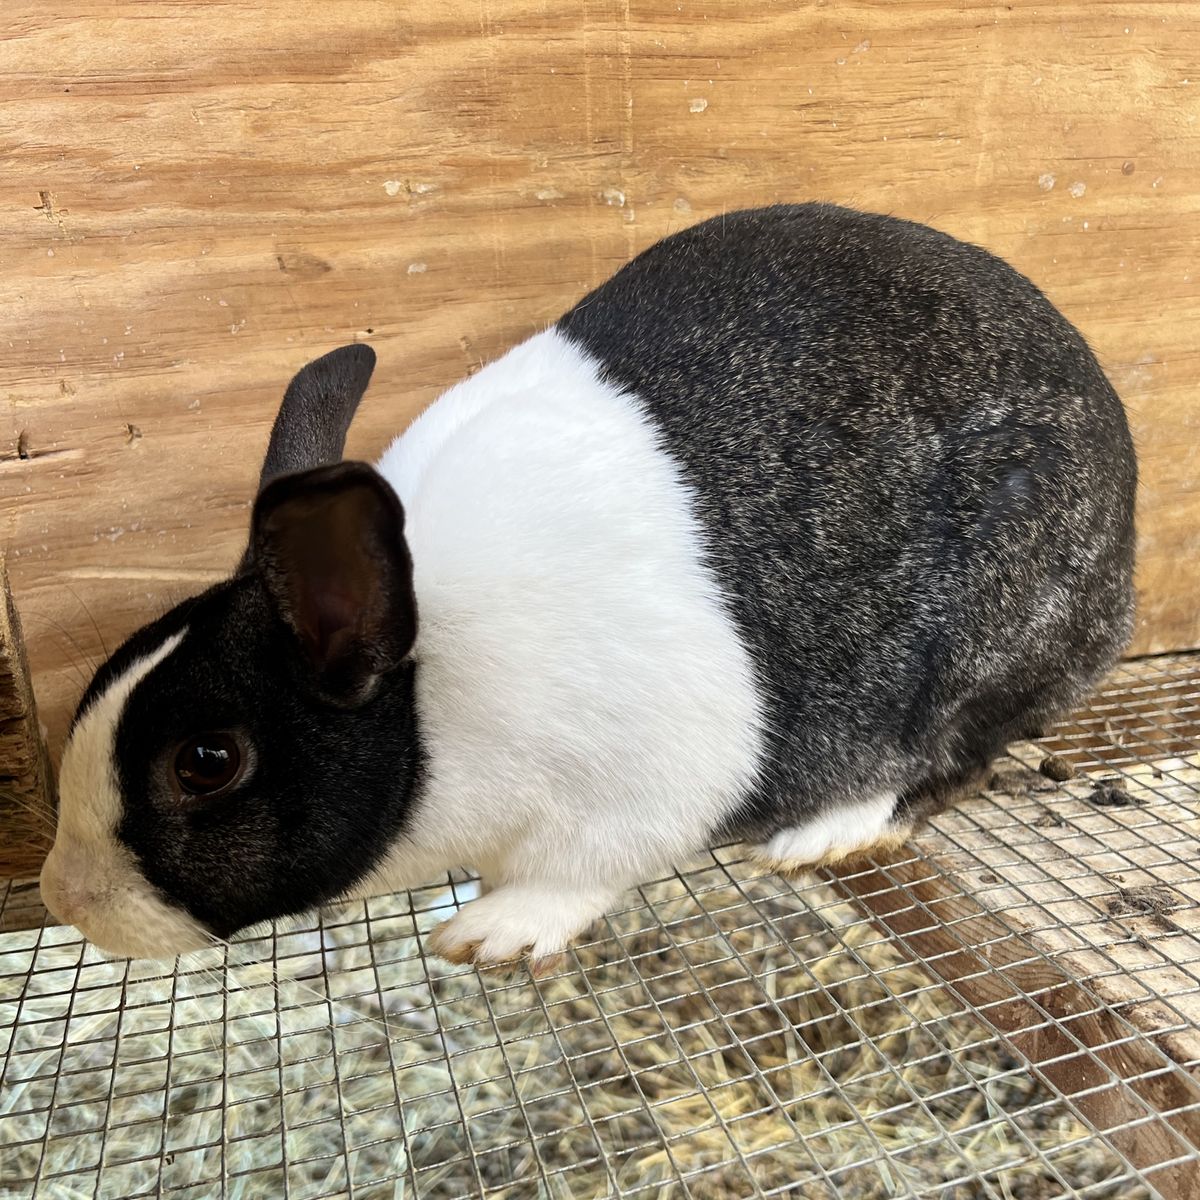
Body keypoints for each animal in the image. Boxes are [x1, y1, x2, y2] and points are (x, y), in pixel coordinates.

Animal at [39, 203, 1137, 968]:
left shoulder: (642, 783)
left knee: (954, 759)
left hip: (992, 644)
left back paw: (814, 835)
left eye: (207, 763)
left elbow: (584, 870)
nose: (60, 898)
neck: (430, 690)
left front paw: (490, 935)